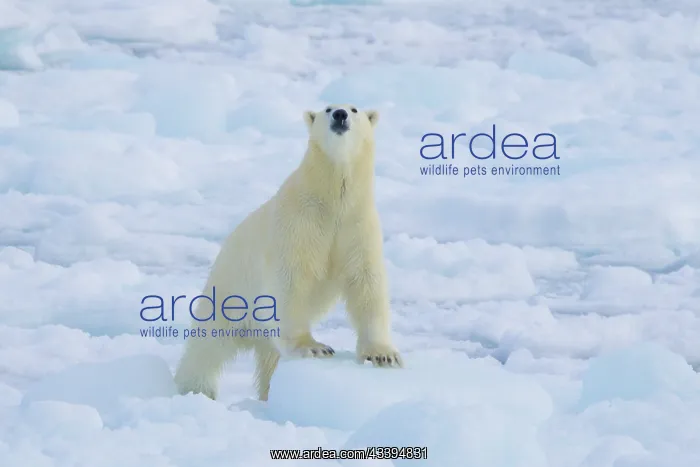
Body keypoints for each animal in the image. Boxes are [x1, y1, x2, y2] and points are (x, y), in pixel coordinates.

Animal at [173, 103, 403, 402]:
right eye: (327, 108)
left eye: (354, 109)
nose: (340, 114)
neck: (331, 201)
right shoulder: (298, 223)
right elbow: (292, 281)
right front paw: (314, 347)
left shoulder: (357, 225)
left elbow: (366, 282)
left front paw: (384, 355)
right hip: (228, 295)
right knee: (208, 346)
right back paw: (196, 388)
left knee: (268, 360)